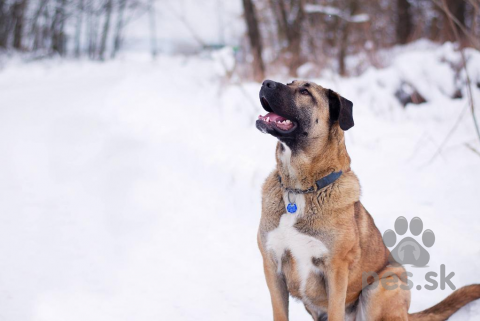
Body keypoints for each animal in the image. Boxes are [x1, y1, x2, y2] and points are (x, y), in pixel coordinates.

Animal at [255, 78, 480, 320]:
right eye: (289, 82)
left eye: (305, 92)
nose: (266, 82)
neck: (299, 190)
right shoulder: (272, 266)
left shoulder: (336, 269)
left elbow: (335, 310)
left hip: (381, 286)